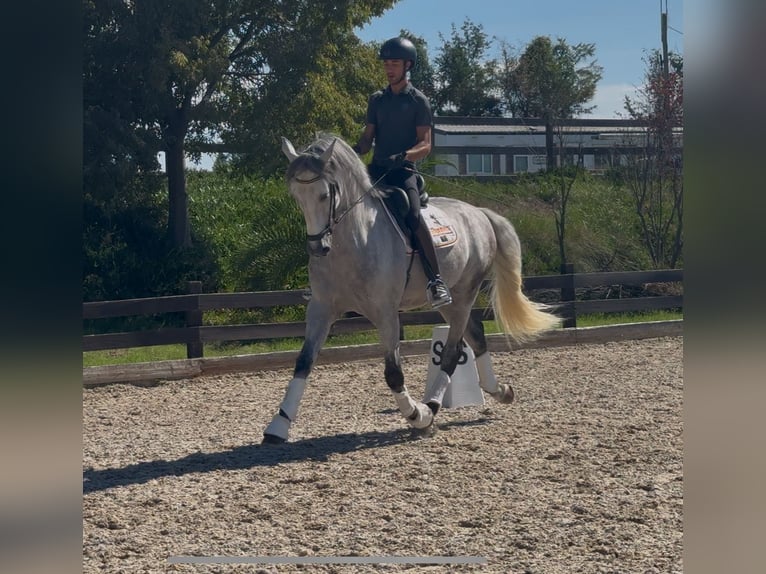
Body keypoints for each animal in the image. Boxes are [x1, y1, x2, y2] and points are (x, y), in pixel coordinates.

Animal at [263, 134, 560, 443]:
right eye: (297, 197)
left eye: (324, 195)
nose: (317, 247)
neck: (353, 241)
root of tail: (479, 213)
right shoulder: (321, 309)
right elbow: (303, 362)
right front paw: (277, 426)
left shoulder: (385, 313)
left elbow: (393, 373)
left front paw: (416, 415)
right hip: (451, 302)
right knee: (476, 336)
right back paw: (498, 391)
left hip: (464, 293)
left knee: (452, 352)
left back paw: (430, 409)